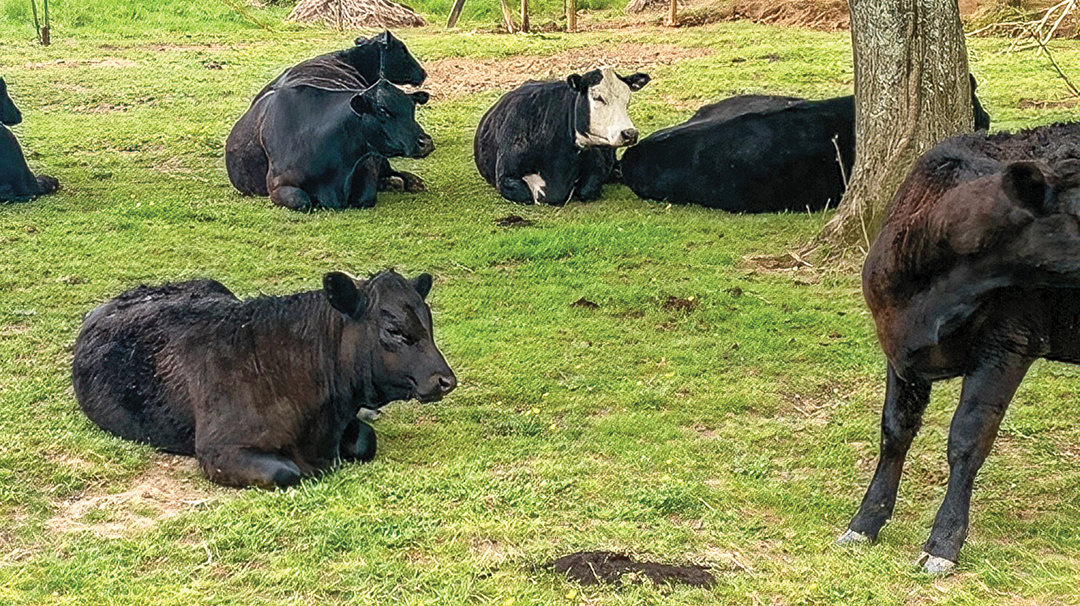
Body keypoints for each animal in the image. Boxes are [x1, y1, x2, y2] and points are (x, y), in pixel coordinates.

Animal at [72, 270, 457, 489]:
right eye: (394, 330)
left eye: (428, 322)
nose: (445, 380)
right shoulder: (217, 449)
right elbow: (285, 472)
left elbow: (366, 441)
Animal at [225, 81, 433, 211]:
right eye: (383, 109)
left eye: (412, 107)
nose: (425, 142)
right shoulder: (278, 185)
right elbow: (302, 201)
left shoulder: (367, 165)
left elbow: (366, 197)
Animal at [473, 68, 650, 205]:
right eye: (597, 97)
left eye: (627, 99)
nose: (630, 133)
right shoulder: (505, 176)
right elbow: (527, 194)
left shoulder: (596, 167)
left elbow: (588, 189)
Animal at [837, 122, 1080, 573]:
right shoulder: (896, 345)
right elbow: (894, 431)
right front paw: (864, 523)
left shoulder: (1008, 344)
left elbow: (968, 439)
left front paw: (943, 543)